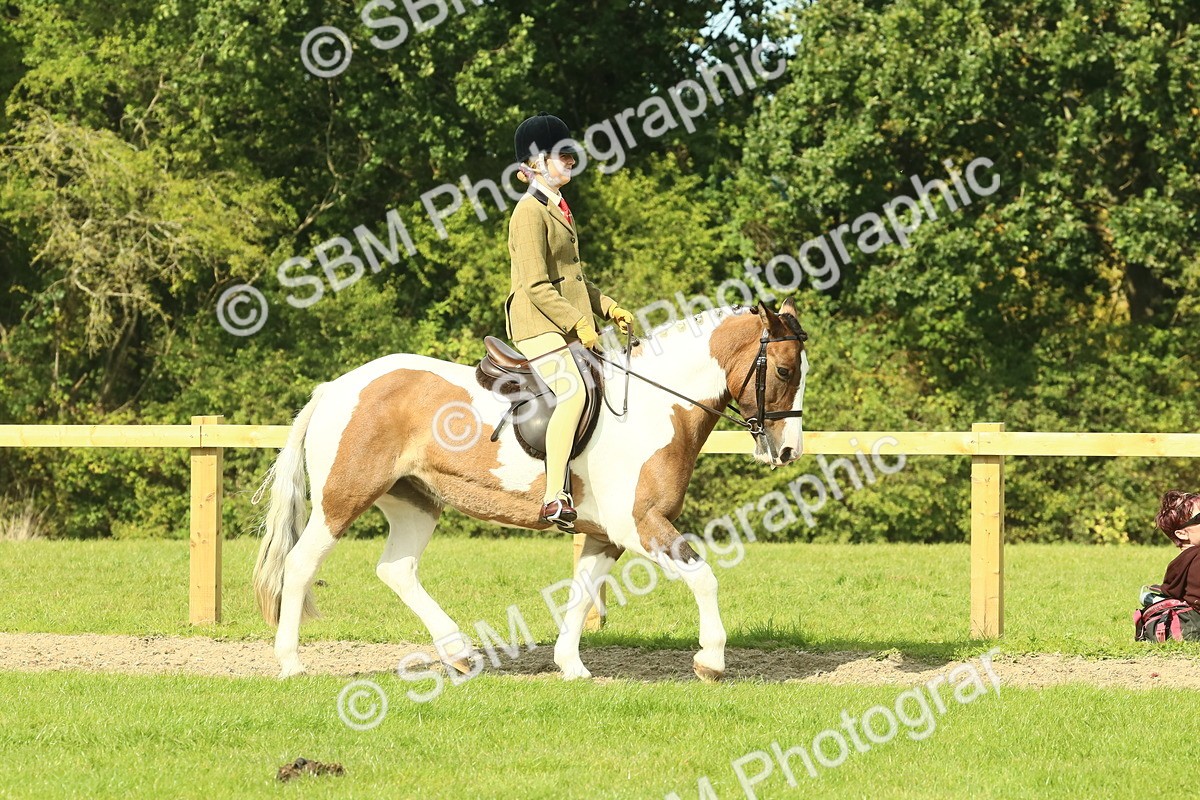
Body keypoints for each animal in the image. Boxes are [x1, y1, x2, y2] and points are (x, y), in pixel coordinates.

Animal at [252, 298, 809, 681]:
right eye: (784, 370)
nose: (787, 451)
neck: (654, 408)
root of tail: (337, 388)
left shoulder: (604, 534)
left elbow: (582, 593)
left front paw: (572, 666)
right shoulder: (640, 525)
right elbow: (703, 576)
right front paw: (711, 659)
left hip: (416, 502)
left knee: (397, 570)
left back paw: (458, 652)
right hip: (341, 500)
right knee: (300, 566)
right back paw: (291, 663)